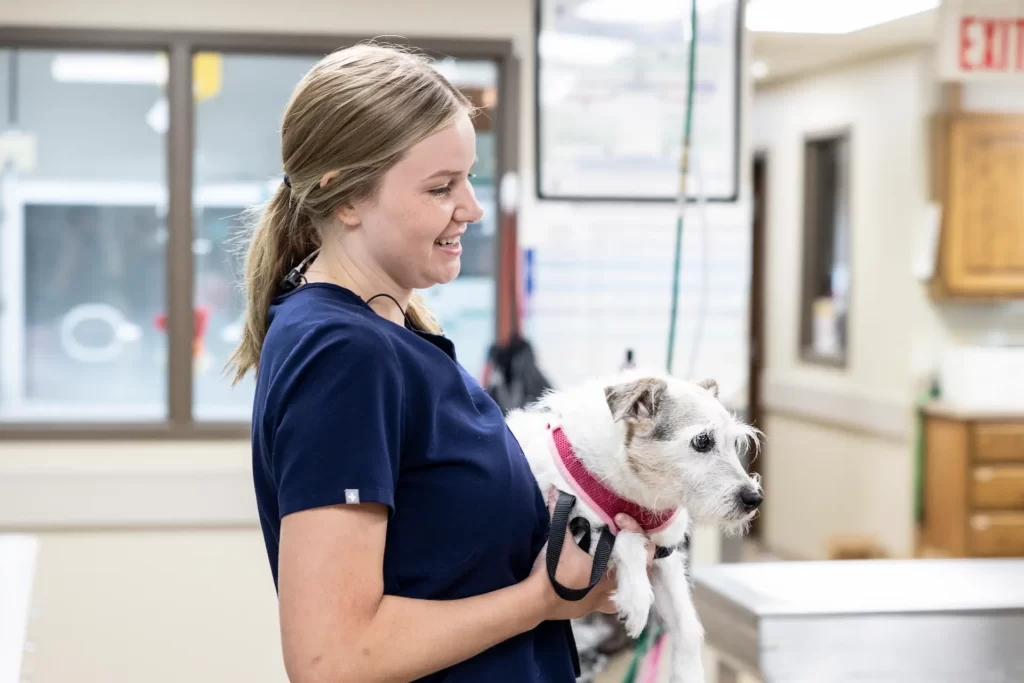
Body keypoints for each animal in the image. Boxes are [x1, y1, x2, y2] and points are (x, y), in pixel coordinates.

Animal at [507, 370, 765, 679]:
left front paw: (688, 672)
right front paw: (637, 600)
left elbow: (687, 624)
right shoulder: (570, 522)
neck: (637, 490)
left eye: (735, 442)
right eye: (702, 441)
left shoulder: (665, 556)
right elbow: (626, 537)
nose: (754, 498)